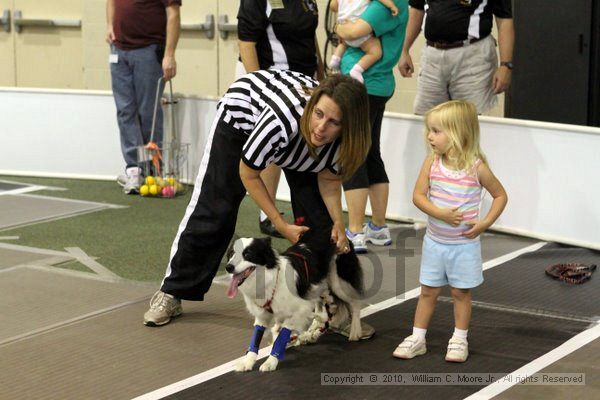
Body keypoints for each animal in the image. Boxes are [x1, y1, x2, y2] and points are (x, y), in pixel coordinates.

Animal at [226, 230, 364, 374]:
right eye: (231, 253)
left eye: (247, 254)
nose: (228, 267)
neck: (269, 281)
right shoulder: (262, 315)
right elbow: (256, 337)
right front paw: (247, 362)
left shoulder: (300, 309)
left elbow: (281, 337)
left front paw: (271, 362)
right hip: (317, 287)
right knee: (322, 311)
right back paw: (312, 332)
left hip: (339, 282)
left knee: (355, 302)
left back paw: (355, 331)